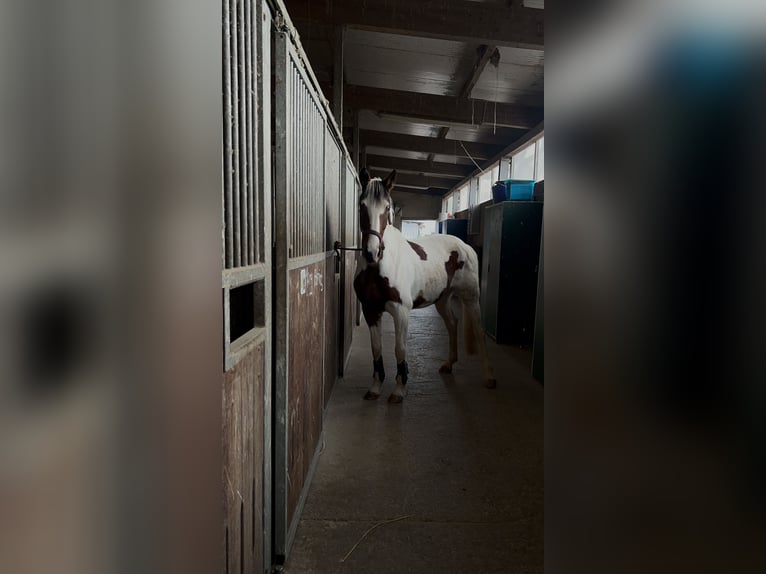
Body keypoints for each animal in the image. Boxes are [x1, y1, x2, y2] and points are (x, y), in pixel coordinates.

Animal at [353, 167, 497, 403]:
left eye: (387, 208)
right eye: (361, 205)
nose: (372, 252)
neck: (378, 268)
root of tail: (465, 246)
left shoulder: (401, 311)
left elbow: (399, 349)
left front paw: (399, 390)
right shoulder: (371, 310)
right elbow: (376, 349)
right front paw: (375, 387)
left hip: (470, 298)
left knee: (479, 331)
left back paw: (489, 377)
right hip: (442, 300)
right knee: (453, 324)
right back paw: (448, 364)